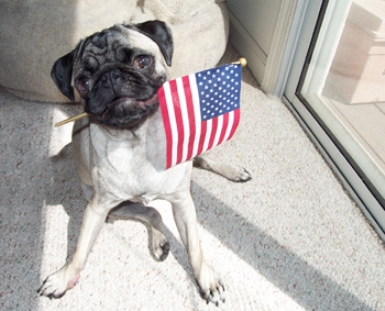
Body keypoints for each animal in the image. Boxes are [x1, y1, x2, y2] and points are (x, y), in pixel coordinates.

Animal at [37, 20, 250, 306]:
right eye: (83, 82)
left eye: (142, 61)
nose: (110, 76)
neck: (137, 140)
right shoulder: (97, 208)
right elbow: (80, 250)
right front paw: (65, 276)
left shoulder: (182, 202)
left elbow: (195, 247)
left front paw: (206, 279)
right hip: (110, 205)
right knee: (152, 213)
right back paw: (159, 240)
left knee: (201, 160)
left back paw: (232, 171)